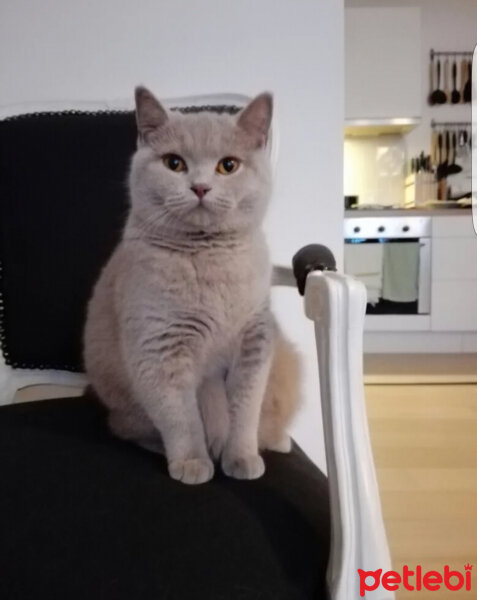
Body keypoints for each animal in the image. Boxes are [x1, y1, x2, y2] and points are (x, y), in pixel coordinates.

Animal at [82, 86, 298, 486]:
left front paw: (242, 457)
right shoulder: (159, 347)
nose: (200, 187)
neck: (212, 264)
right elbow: (181, 417)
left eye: (228, 165)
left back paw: (275, 440)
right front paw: (193, 462)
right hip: (125, 403)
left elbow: (245, 409)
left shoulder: (256, 340)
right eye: (174, 163)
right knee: (127, 426)